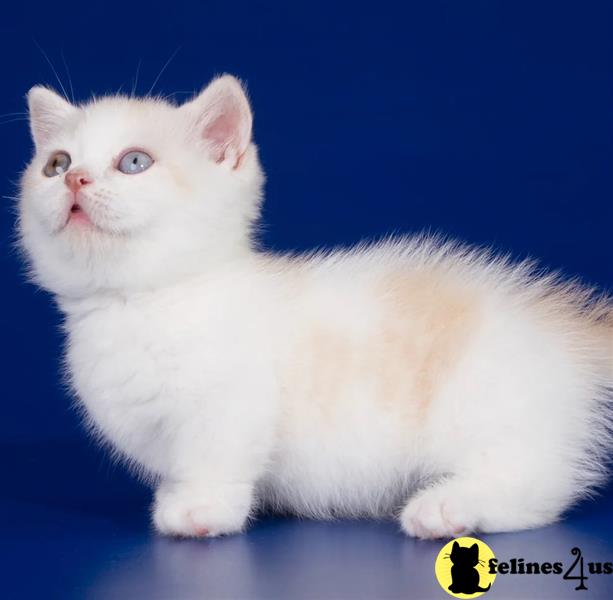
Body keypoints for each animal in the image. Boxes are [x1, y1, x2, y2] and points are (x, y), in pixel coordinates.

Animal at [17, 75, 612, 540]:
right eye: (56, 163)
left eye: (134, 162)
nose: (75, 178)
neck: (140, 301)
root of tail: (571, 324)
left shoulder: (233, 399)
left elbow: (216, 453)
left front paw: (201, 508)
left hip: (489, 403)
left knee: (536, 485)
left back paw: (446, 507)